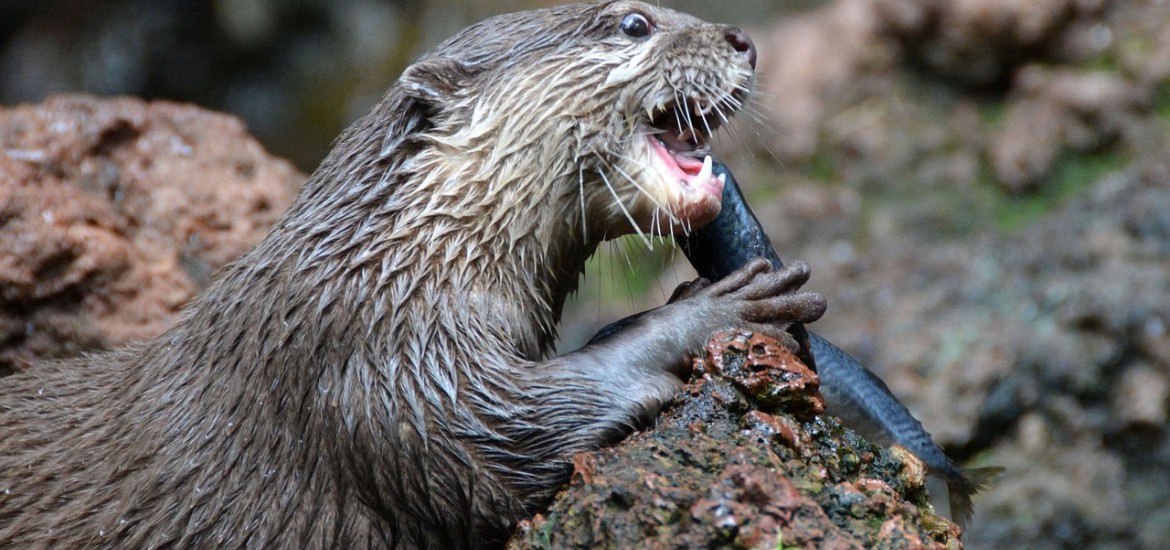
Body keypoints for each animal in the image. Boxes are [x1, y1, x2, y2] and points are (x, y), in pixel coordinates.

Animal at [0, 2, 823, 547]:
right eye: (632, 24)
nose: (743, 39)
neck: (397, 265)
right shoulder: (370, 368)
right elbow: (505, 436)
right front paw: (710, 314)